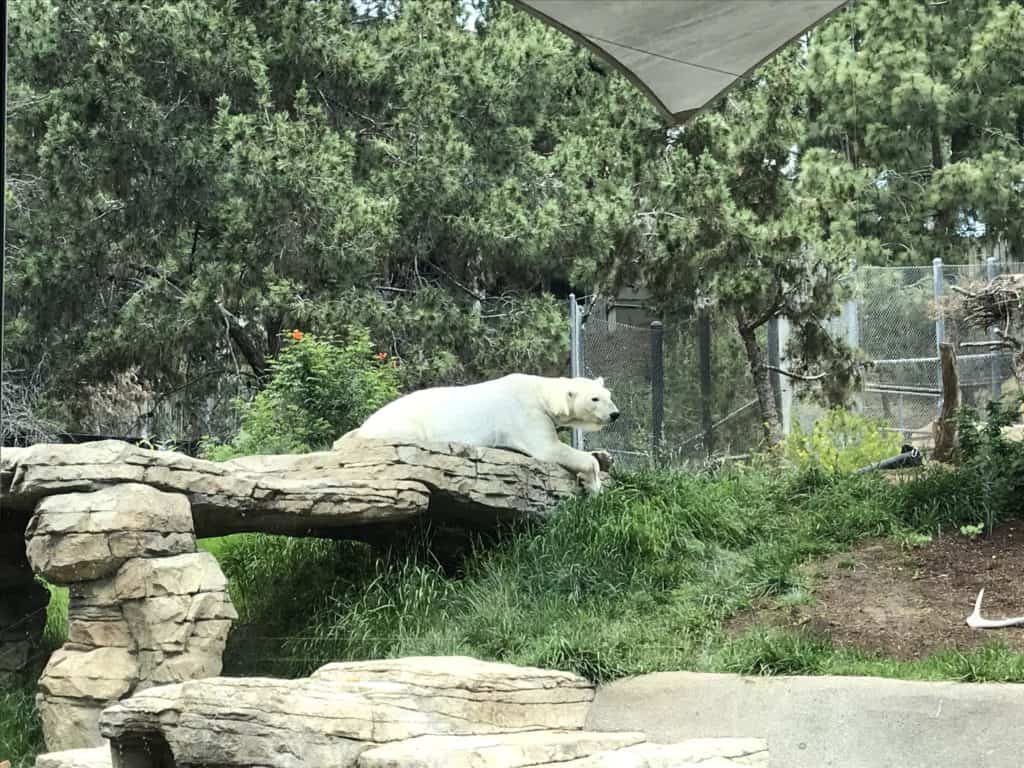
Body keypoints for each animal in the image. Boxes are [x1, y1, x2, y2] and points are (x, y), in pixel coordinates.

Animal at [333, 374, 620, 494]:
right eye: (595, 399)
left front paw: (604, 457)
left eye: (608, 395)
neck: (539, 392)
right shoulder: (526, 415)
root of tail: (364, 427)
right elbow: (548, 448)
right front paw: (594, 484)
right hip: (405, 423)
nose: (615, 414)